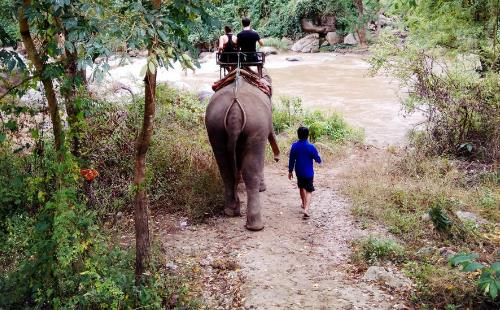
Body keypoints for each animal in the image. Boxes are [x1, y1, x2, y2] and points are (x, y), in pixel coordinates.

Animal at [205, 73, 280, 230]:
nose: (277, 158)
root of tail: (234, 110)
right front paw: (262, 188)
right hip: (256, 128)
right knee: (251, 172)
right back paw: (256, 225)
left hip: (215, 127)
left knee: (225, 170)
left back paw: (231, 210)